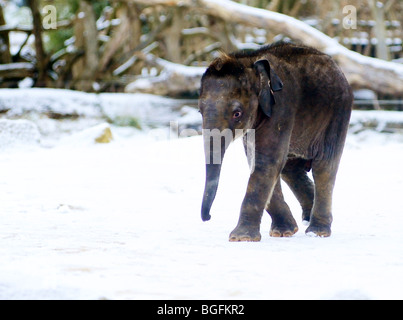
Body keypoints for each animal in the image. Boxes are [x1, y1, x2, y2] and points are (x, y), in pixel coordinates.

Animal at [200, 43, 352, 242]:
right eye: (199, 111)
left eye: (237, 114)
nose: (208, 217)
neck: (249, 61)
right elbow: (259, 161)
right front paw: (283, 232)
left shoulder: (281, 106)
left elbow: (267, 161)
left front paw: (241, 238)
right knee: (290, 168)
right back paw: (307, 219)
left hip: (337, 115)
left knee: (324, 167)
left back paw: (317, 231)